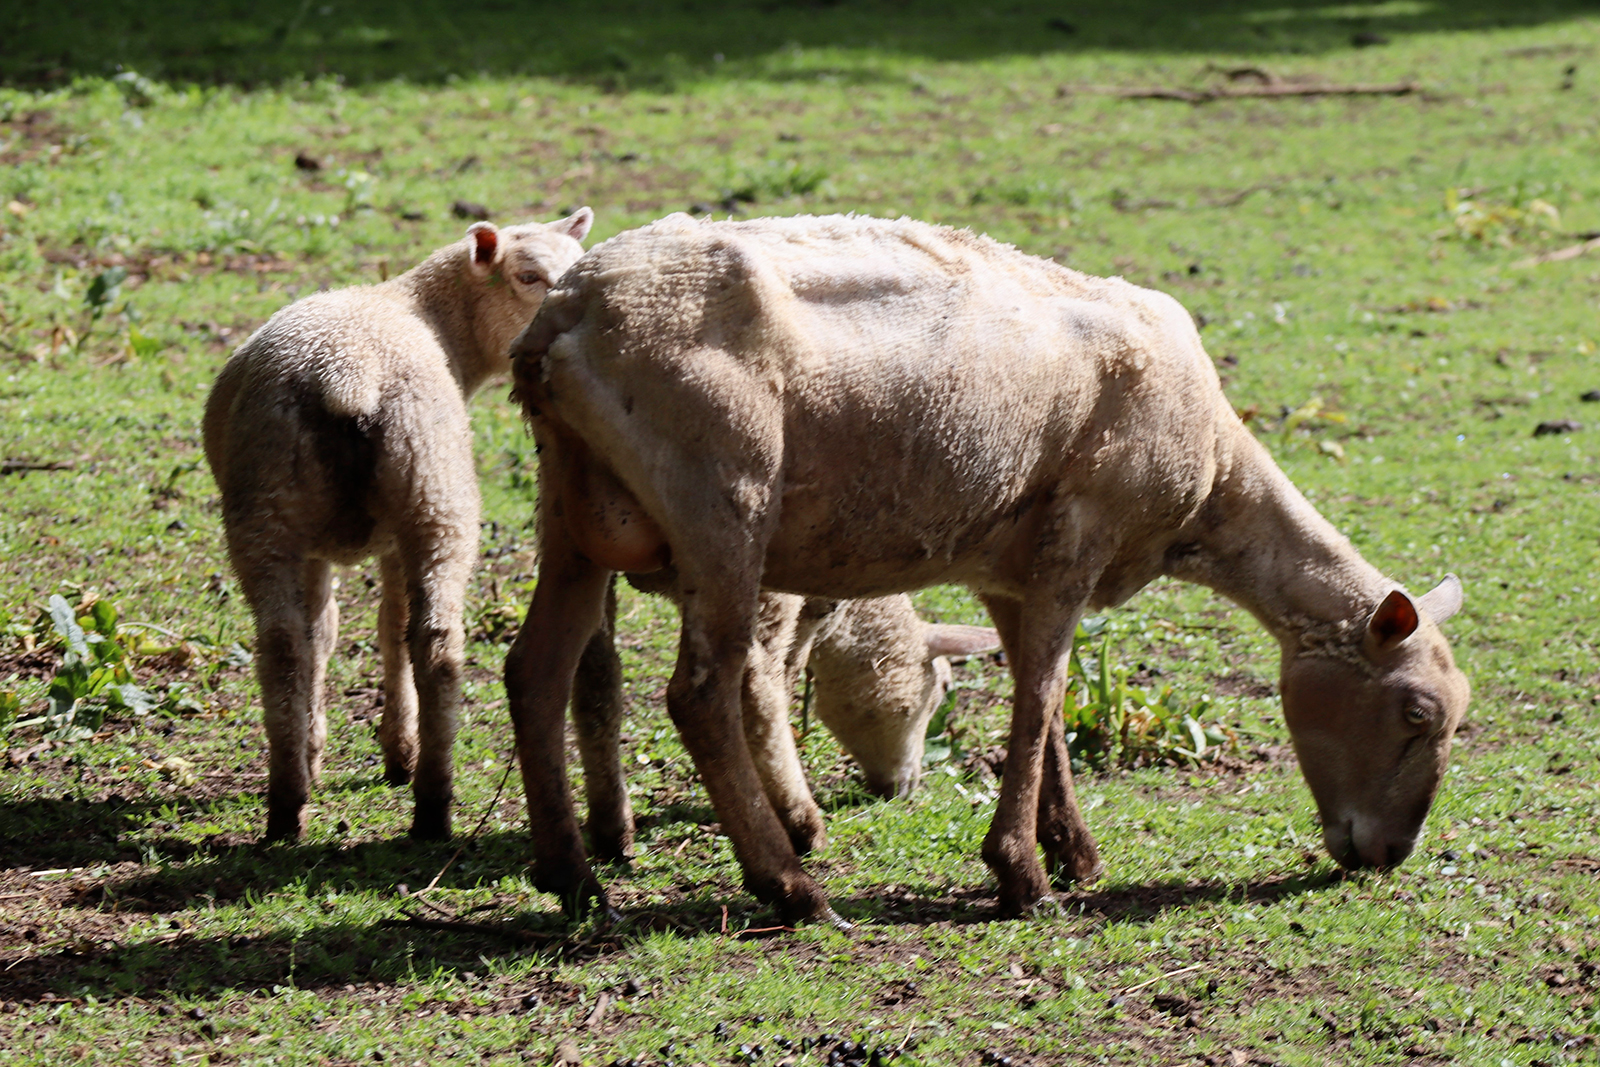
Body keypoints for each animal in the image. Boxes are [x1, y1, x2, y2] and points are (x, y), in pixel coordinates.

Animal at [203, 208, 593, 843]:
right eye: (527, 277)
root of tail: (347, 376)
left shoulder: (341, 544)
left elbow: (337, 632)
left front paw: (332, 749)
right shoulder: (371, 541)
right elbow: (373, 630)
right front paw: (378, 750)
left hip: (294, 507)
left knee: (295, 645)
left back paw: (299, 802)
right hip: (418, 499)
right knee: (426, 642)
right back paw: (420, 799)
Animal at [570, 582, 1000, 863]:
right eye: (943, 687)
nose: (905, 789)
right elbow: (785, 671)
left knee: (596, 669)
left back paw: (610, 830)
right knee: (750, 685)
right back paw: (802, 827)